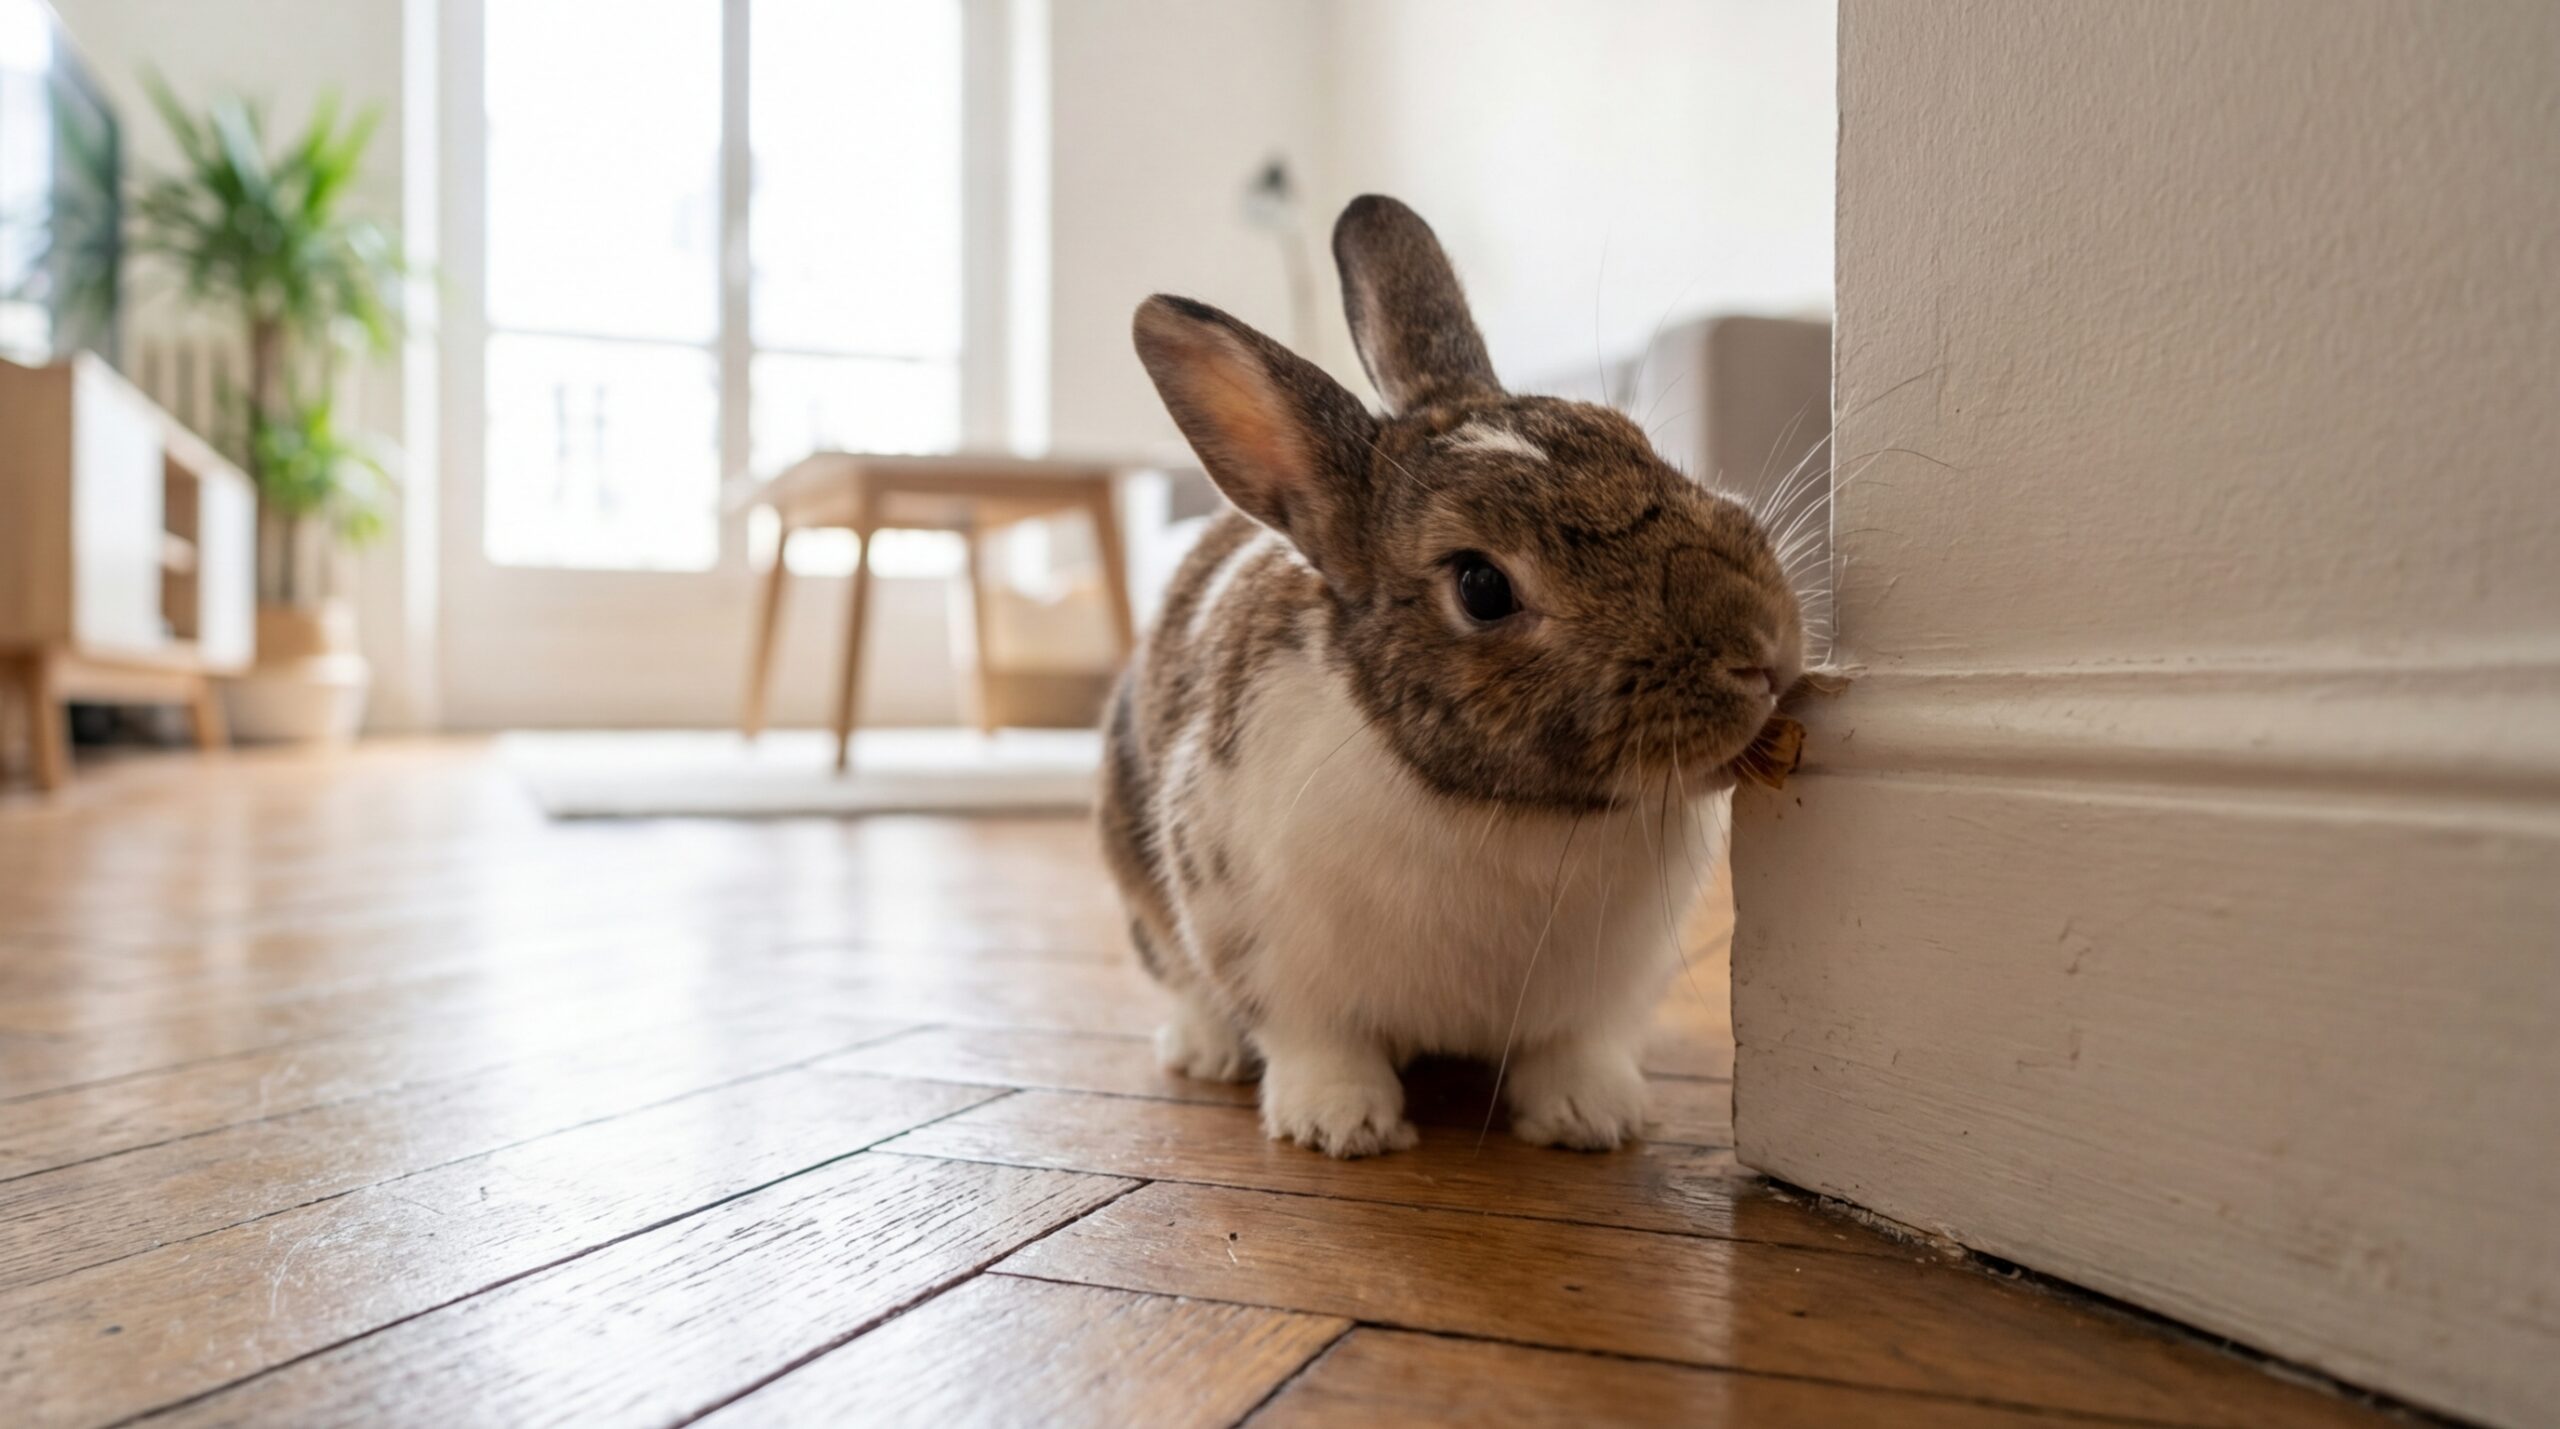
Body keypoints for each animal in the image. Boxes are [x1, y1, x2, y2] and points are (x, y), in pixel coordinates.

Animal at [1098, 195, 1805, 1158]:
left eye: (1637, 442)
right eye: (1481, 586)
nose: (1761, 650)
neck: (1510, 811)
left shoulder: (1602, 992)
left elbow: (1573, 1047)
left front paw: (1591, 1117)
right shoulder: (1259, 940)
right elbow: (1315, 1039)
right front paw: (1340, 1123)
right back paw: (1205, 1050)